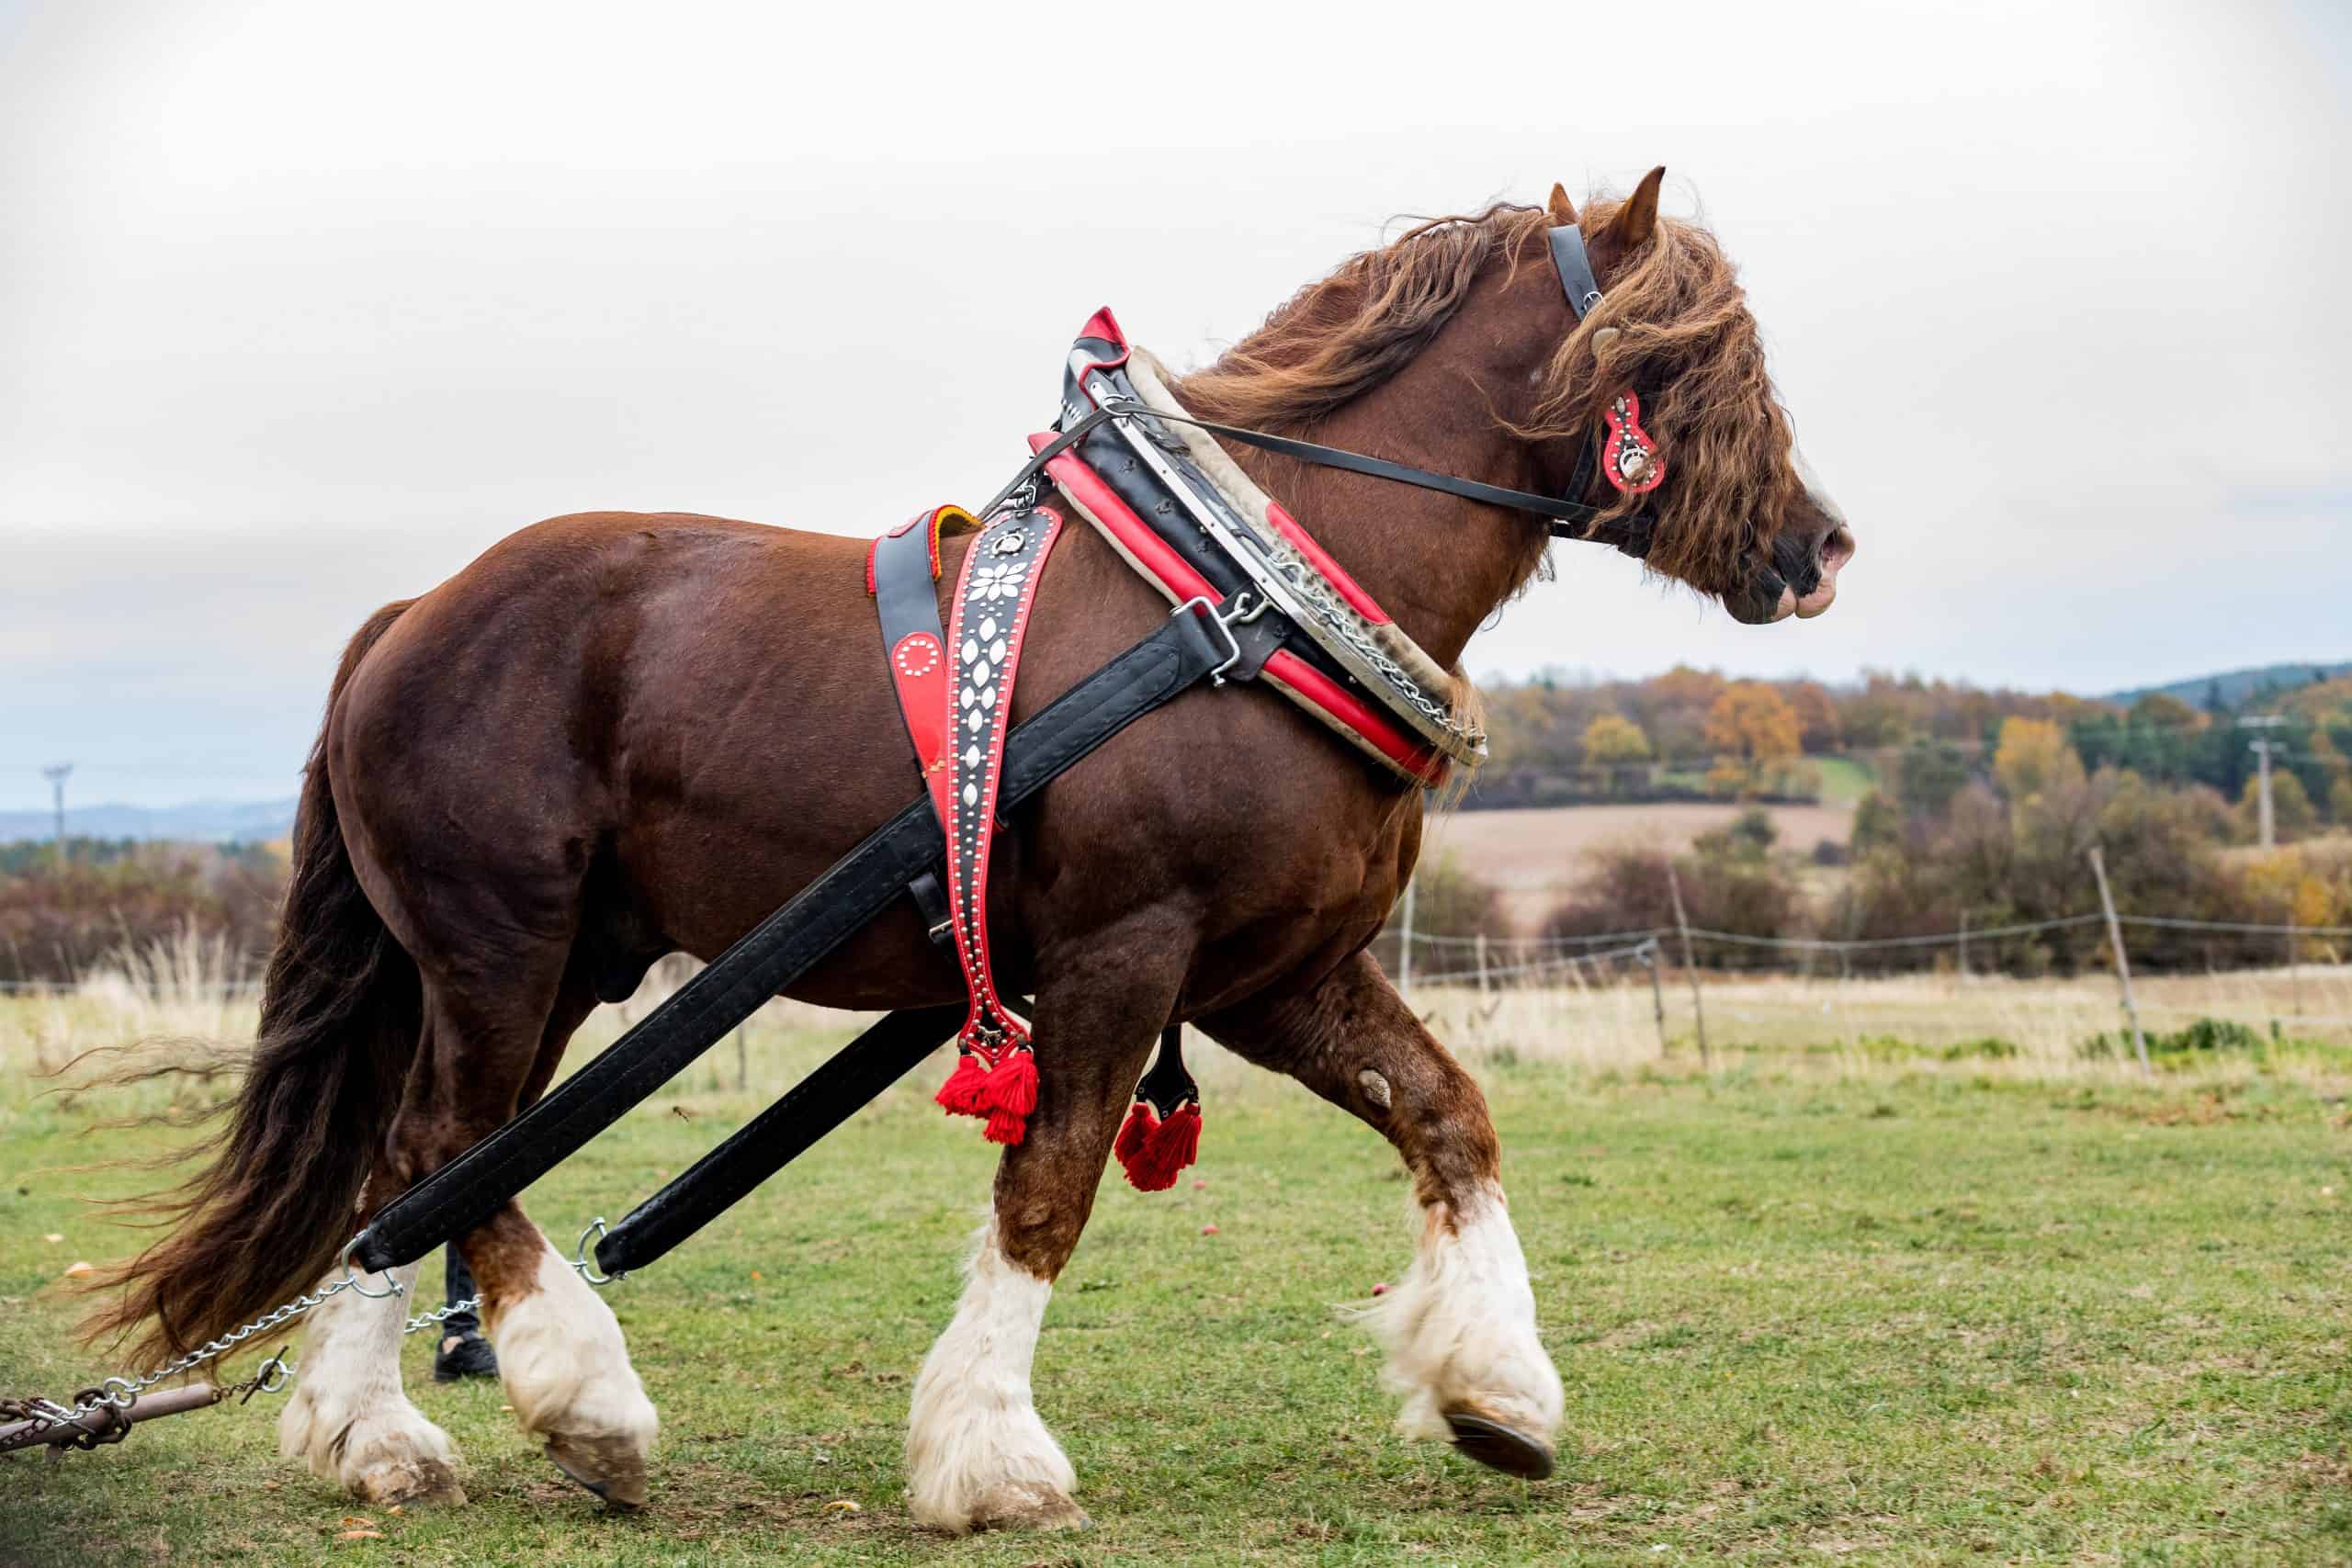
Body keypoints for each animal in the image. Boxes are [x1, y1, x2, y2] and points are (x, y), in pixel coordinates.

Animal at [96, 171, 1853, 1532]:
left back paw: (369, 1437)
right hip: (497, 942)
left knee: (416, 1168)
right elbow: (1052, 1183)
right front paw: (988, 1454)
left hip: (559, 960)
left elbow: (1449, 1114)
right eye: (1703, 353)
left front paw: (1498, 1390)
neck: (1245, 592)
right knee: (452, 1146)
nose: (1820, 546)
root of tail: (410, 616)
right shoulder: (1125, 948)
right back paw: (579, 1404)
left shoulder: (1274, 970)